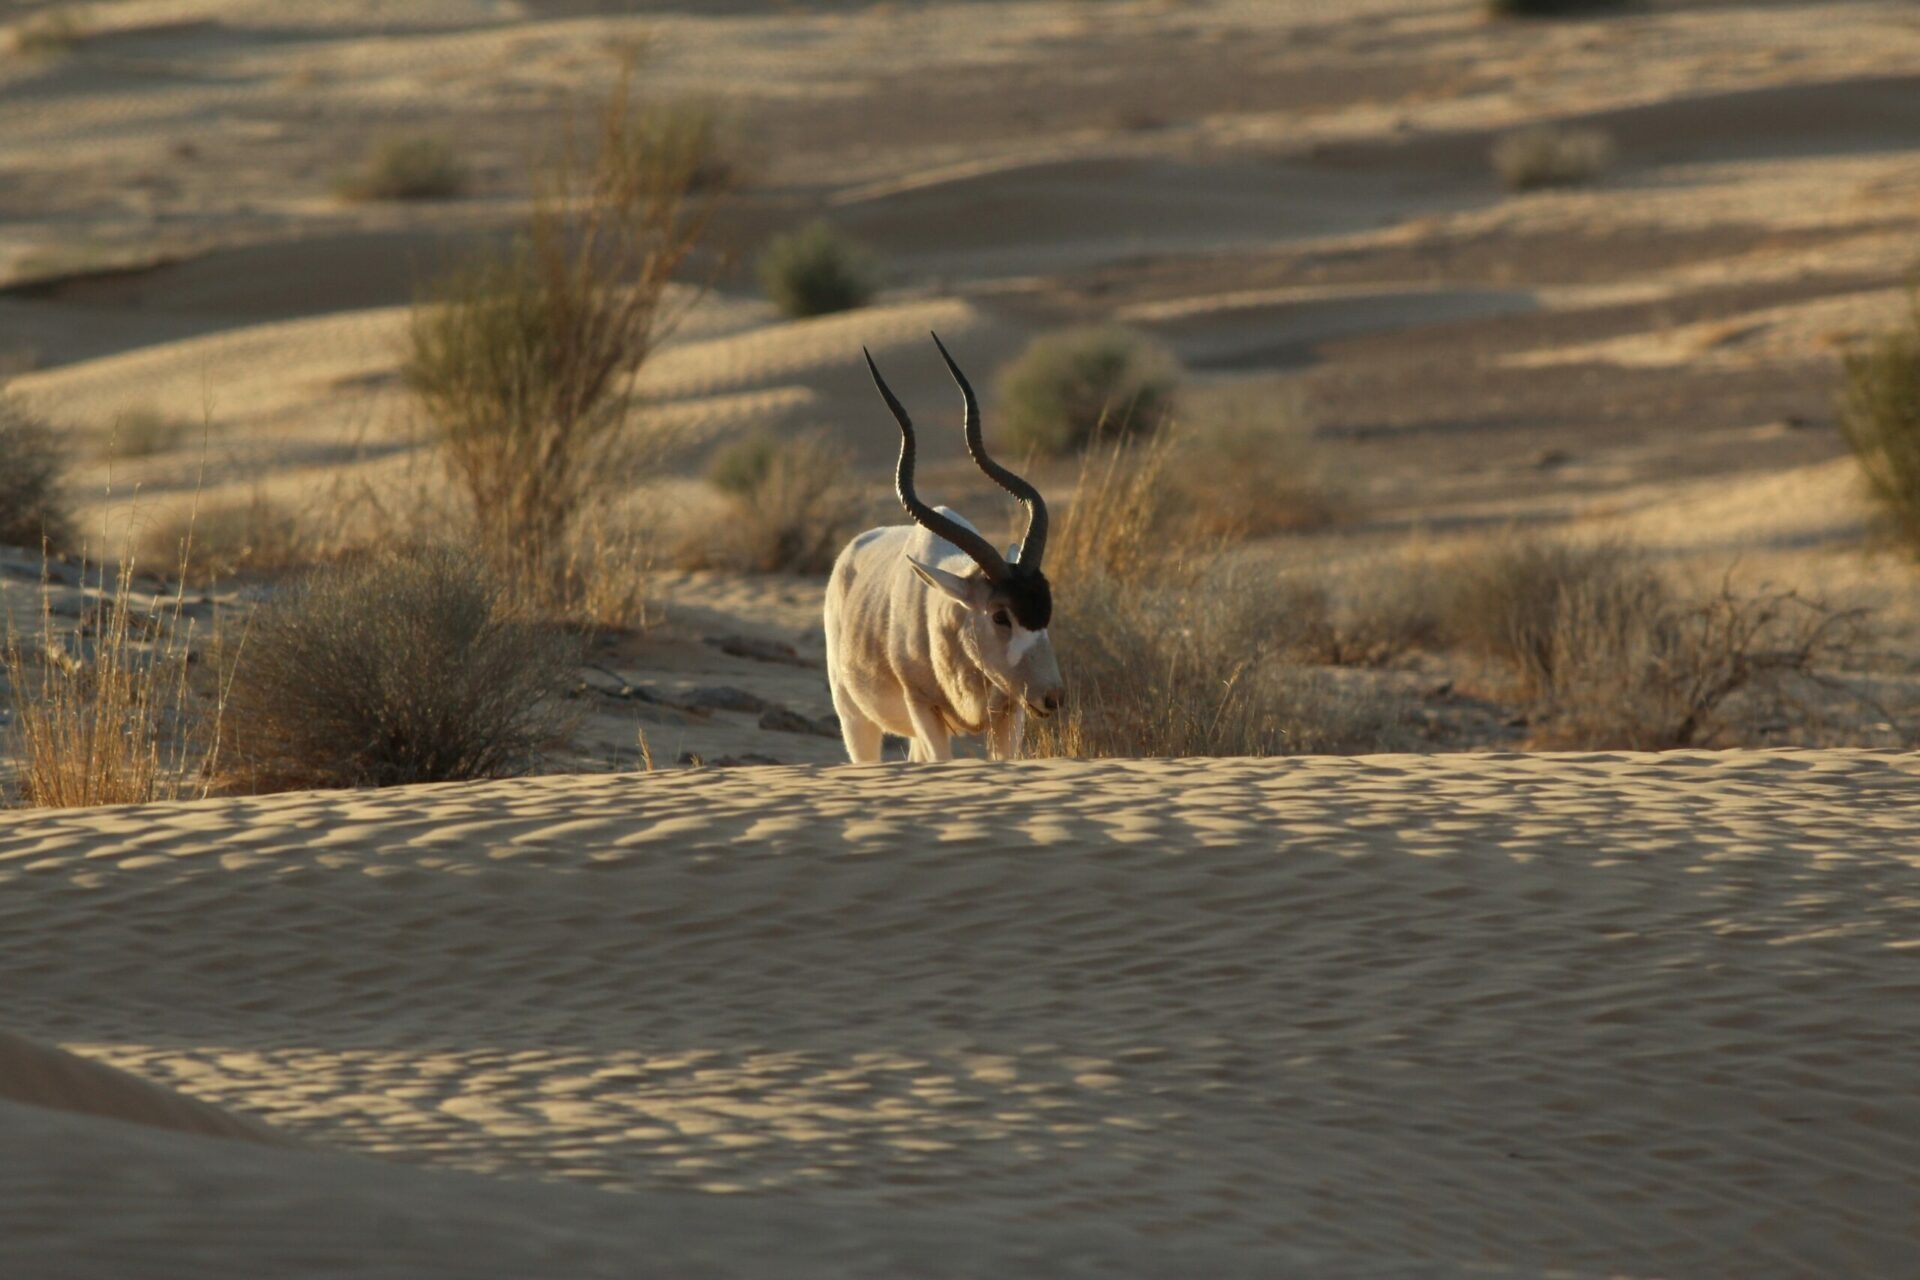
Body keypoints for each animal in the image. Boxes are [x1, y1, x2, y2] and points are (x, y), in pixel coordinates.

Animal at [821, 335, 1067, 767]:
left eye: (1047, 609)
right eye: (1000, 616)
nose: (1052, 697)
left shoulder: (1011, 713)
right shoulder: (924, 709)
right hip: (855, 718)